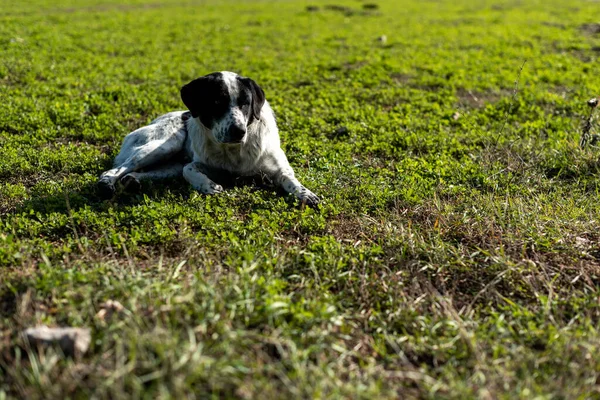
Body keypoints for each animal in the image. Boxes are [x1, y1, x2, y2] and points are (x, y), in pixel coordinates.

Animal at [98, 70, 322, 208]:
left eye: (245, 103)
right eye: (216, 102)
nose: (238, 131)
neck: (234, 152)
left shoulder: (278, 167)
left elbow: (290, 179)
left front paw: (305, 194)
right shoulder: (201, 164)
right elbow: (189, 170)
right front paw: (208, 186)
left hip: (169, 165)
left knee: (138, 173)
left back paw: (132, 181)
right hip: (166, 143)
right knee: (115, 170)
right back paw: (107, 184)